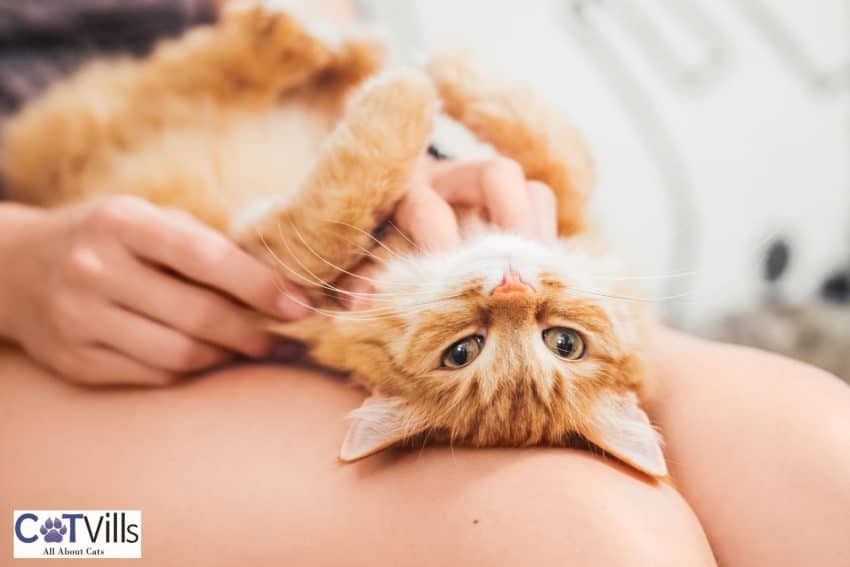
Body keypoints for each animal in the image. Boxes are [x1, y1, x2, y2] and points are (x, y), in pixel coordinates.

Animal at [1, 1, 664, 480]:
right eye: (565, 343)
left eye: (463, 353)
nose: (511, 287)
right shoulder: (563, 205)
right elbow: (563, 156)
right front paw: (444, 78)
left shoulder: (267, 260)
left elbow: (351, 188)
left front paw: (407, 94)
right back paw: (334, 46)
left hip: (96, 117)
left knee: (195, 68)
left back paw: (302, 40)